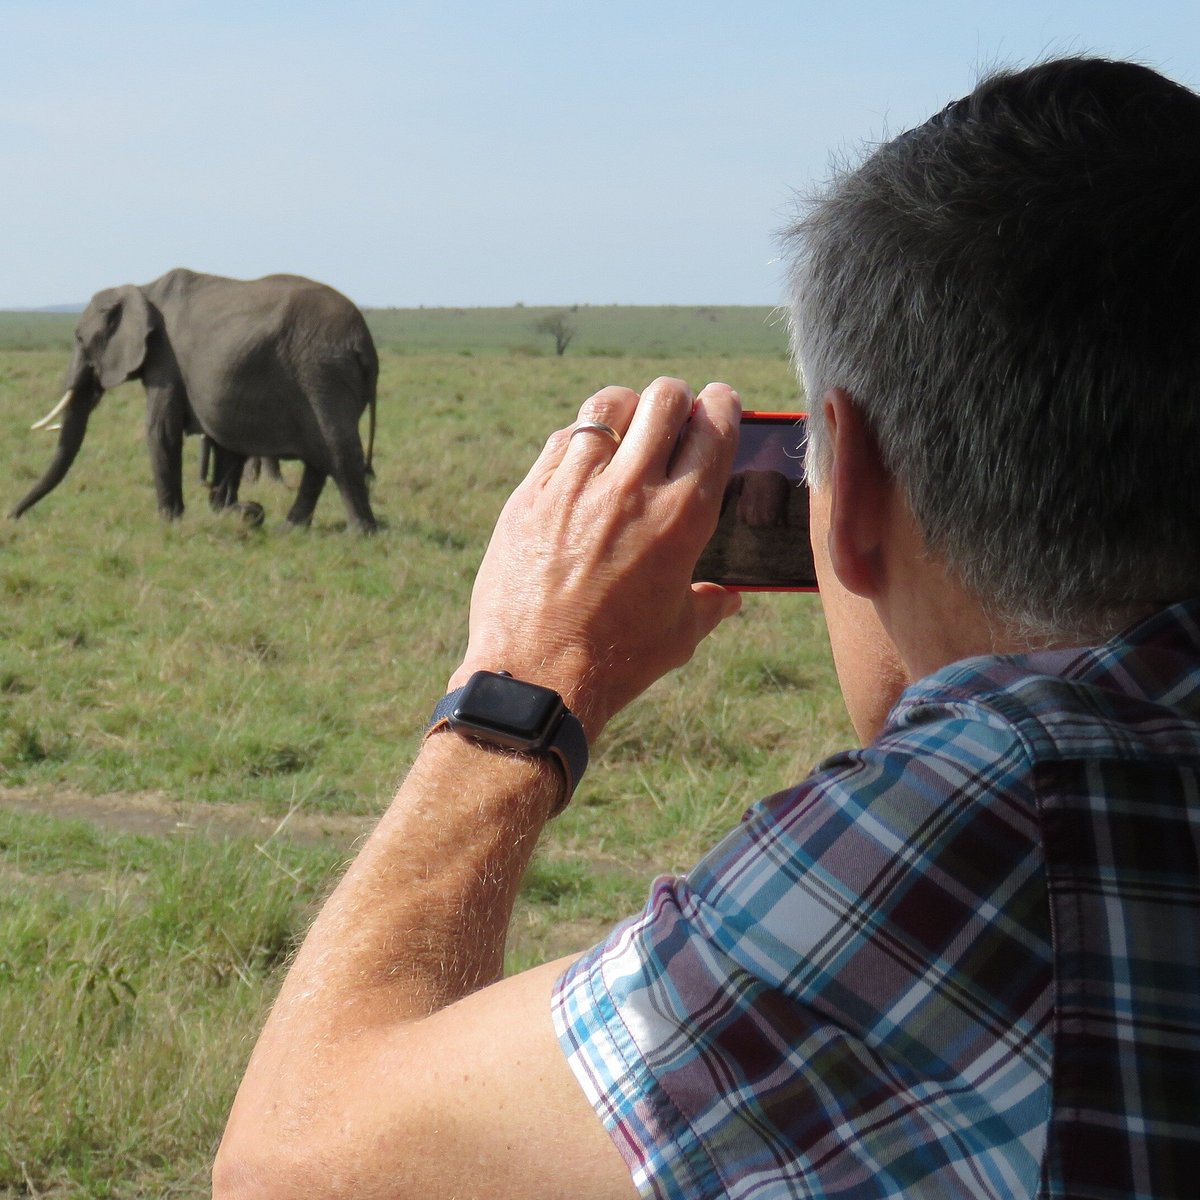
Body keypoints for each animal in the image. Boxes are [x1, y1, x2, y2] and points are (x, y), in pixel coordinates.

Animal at [11, 274, 379, 537]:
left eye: (78, 338)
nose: (11, 516)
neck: (141, 289)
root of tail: (366, 342)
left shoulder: (166, 361)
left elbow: (161, 432)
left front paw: (168, 523)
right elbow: (227, 445)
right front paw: (236, 511)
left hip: (321, 373)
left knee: (338, 449)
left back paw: (359, 535)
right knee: (320, 459)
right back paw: (288, 530)